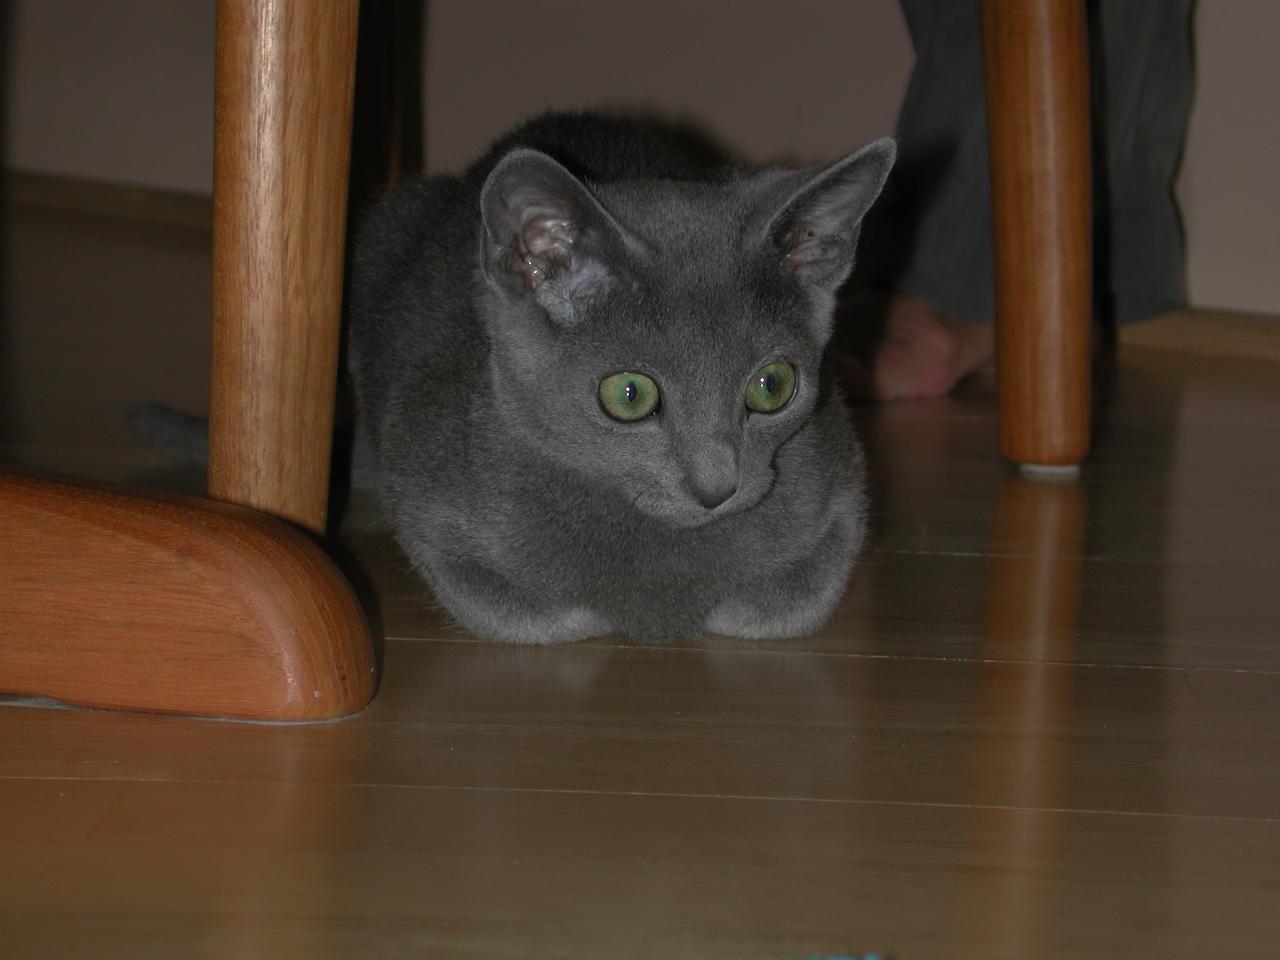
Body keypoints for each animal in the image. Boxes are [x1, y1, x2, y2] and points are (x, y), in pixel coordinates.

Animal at [345, 114, 896, 647]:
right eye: (629, 395)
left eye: (772, 386)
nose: (716, 488)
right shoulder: (425, 493)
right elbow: (517, 612)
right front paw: (595, 618)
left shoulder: (842, 485)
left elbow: (798, 601)